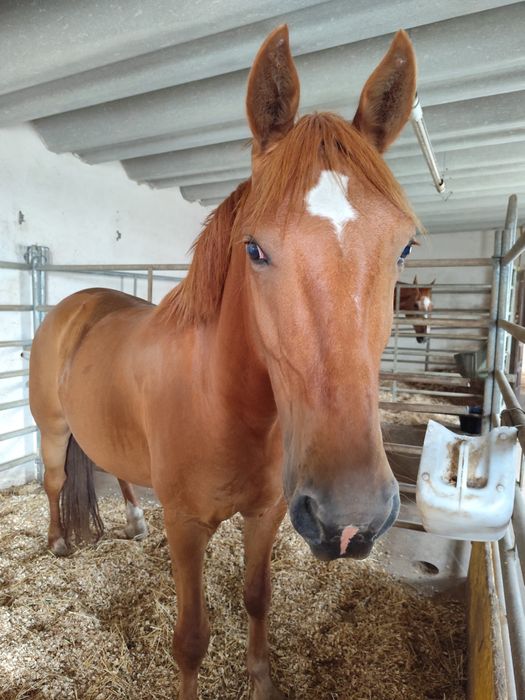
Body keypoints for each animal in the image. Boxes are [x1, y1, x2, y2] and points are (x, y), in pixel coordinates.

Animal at [29, 25, 419, 700]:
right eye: (254, 248)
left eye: (404, 248)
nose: (352, 521)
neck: (225, 403)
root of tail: (77, 303)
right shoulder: (186, 527)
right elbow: (190, 639)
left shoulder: (267, 514)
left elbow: (258, 597)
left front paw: (261, 680)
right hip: (52, 431)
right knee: (55, 482)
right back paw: (57, 543)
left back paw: (132, 519)